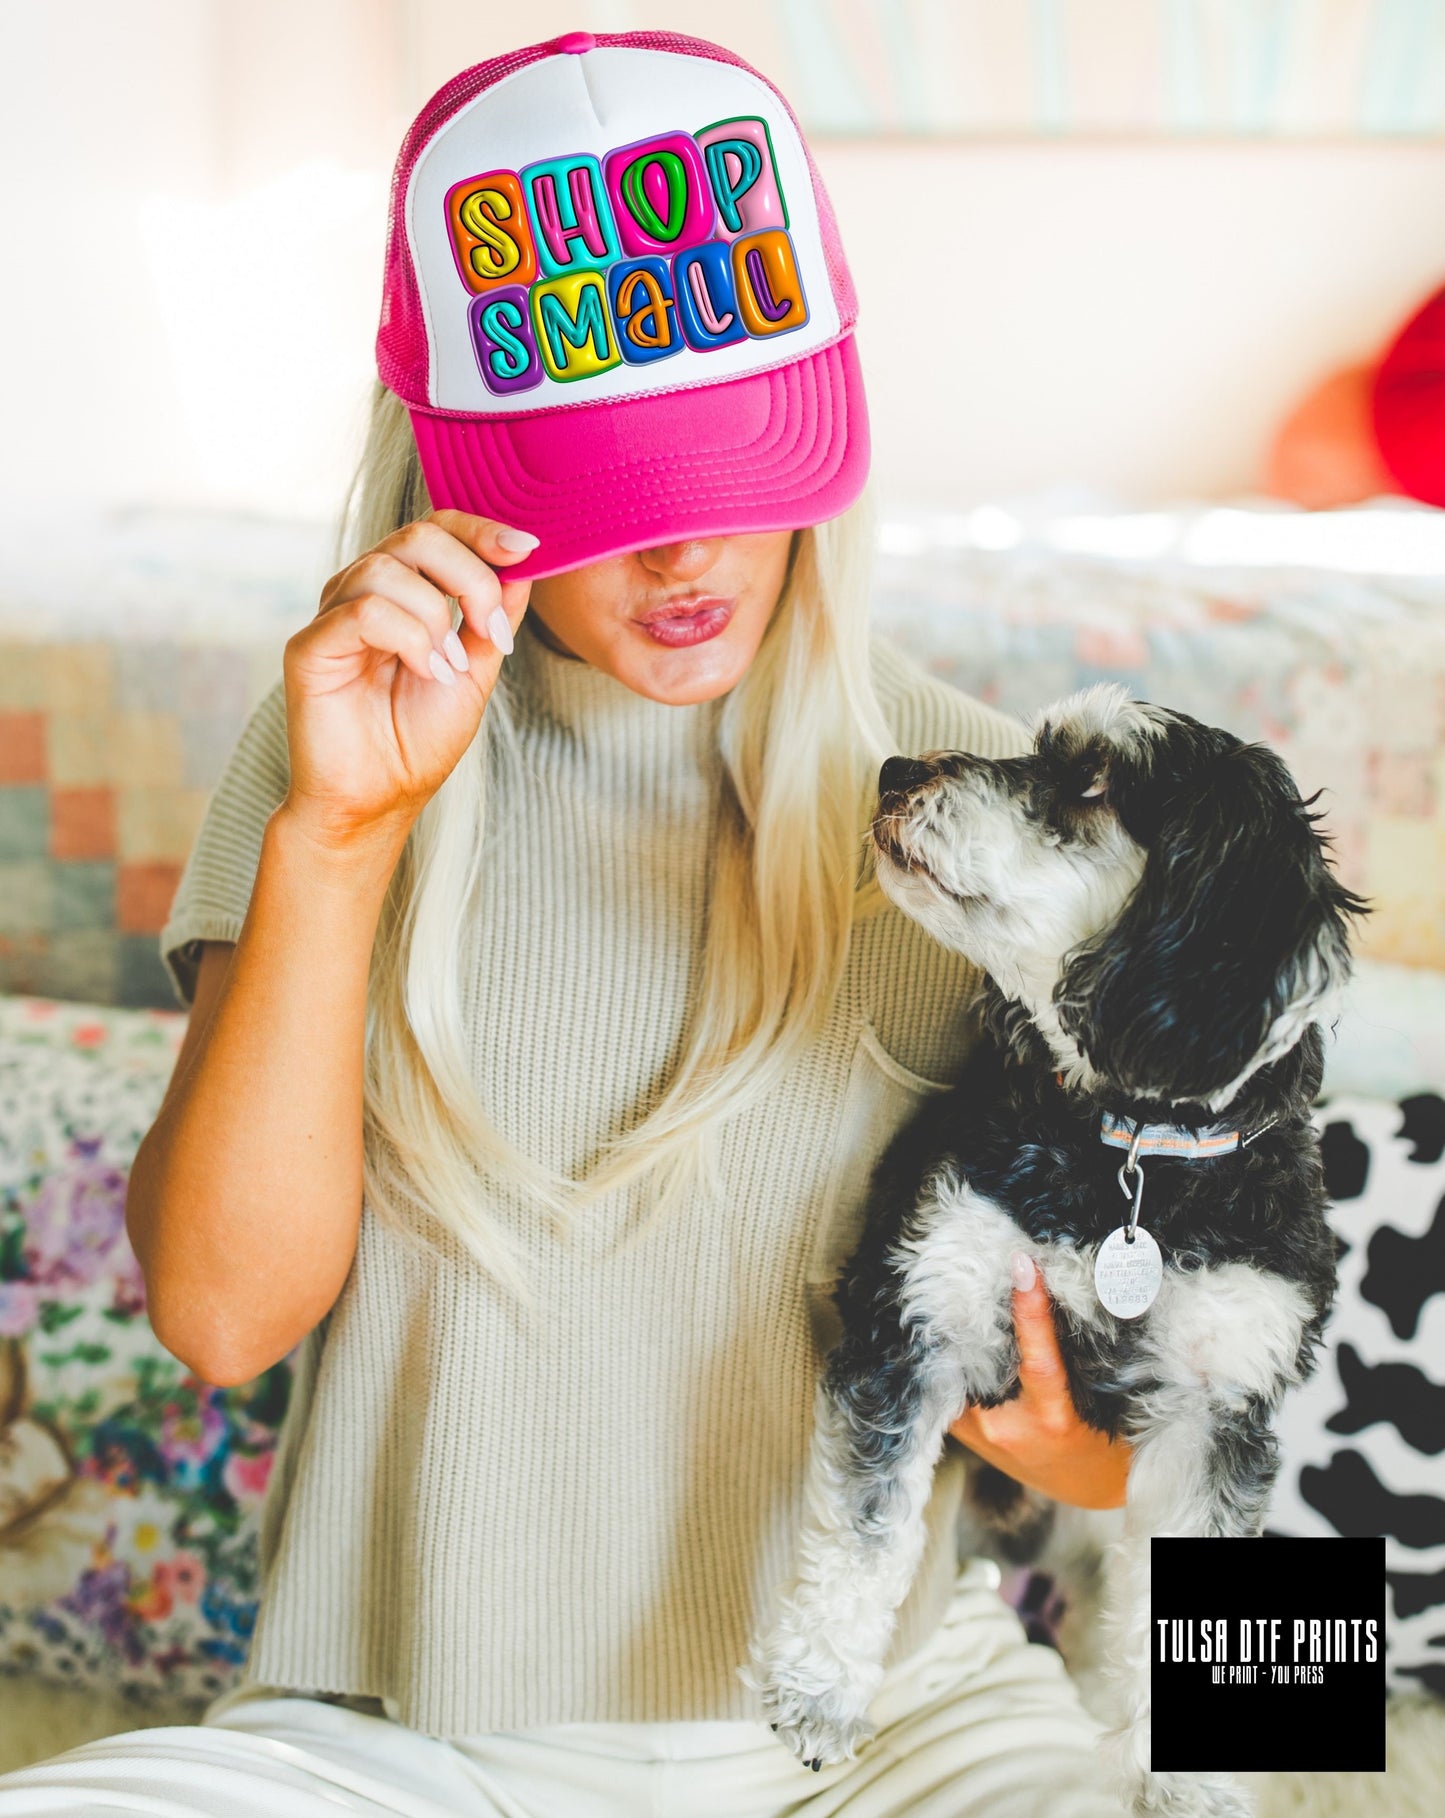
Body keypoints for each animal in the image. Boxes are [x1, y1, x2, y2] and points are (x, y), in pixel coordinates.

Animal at [742, 685, 1366, 1818]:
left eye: (1089, 781)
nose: (895, 768)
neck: (1128, 1161)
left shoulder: (1218, 1415)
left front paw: (1185, 1787)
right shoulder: (916, 1316)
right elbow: (864, 1530)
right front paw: (818, 1691)